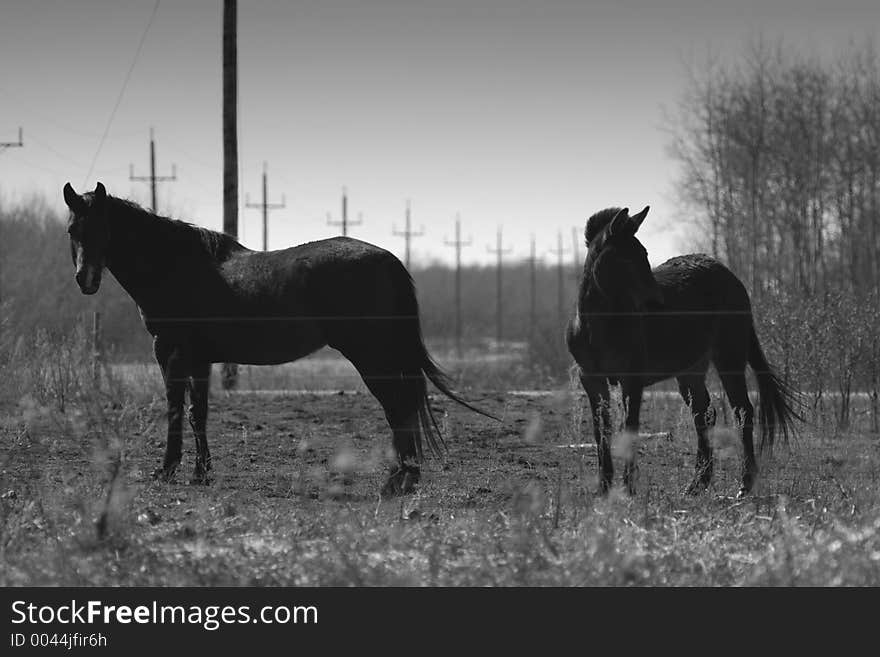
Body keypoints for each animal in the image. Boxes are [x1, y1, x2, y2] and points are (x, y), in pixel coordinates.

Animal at [63, 182, 496, 494]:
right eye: (72, 230)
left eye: (103, 228)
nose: (85, 280)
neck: (176, 266)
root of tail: (389, 259)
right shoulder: (200, 358)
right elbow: (198, 413)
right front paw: (202, 473)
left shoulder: (171, 351)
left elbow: (174, 410)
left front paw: (168, 470)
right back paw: (404, 479)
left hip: (370, 355)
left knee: (398, 407)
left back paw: (398, 480)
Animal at [568, 205, 800, 498]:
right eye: (625, 259)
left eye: (644, 254)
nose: (657, 303)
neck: (598, 326)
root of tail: (730, 276)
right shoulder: (591, 379)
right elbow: (601, 430)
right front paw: (604, 487)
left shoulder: (632, 379)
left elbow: (629, 427)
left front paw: (628, 488)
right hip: (690, 369)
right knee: (704, 414)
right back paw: (697, 484)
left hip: (729, 355)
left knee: (742, 410)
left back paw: (744, 484)